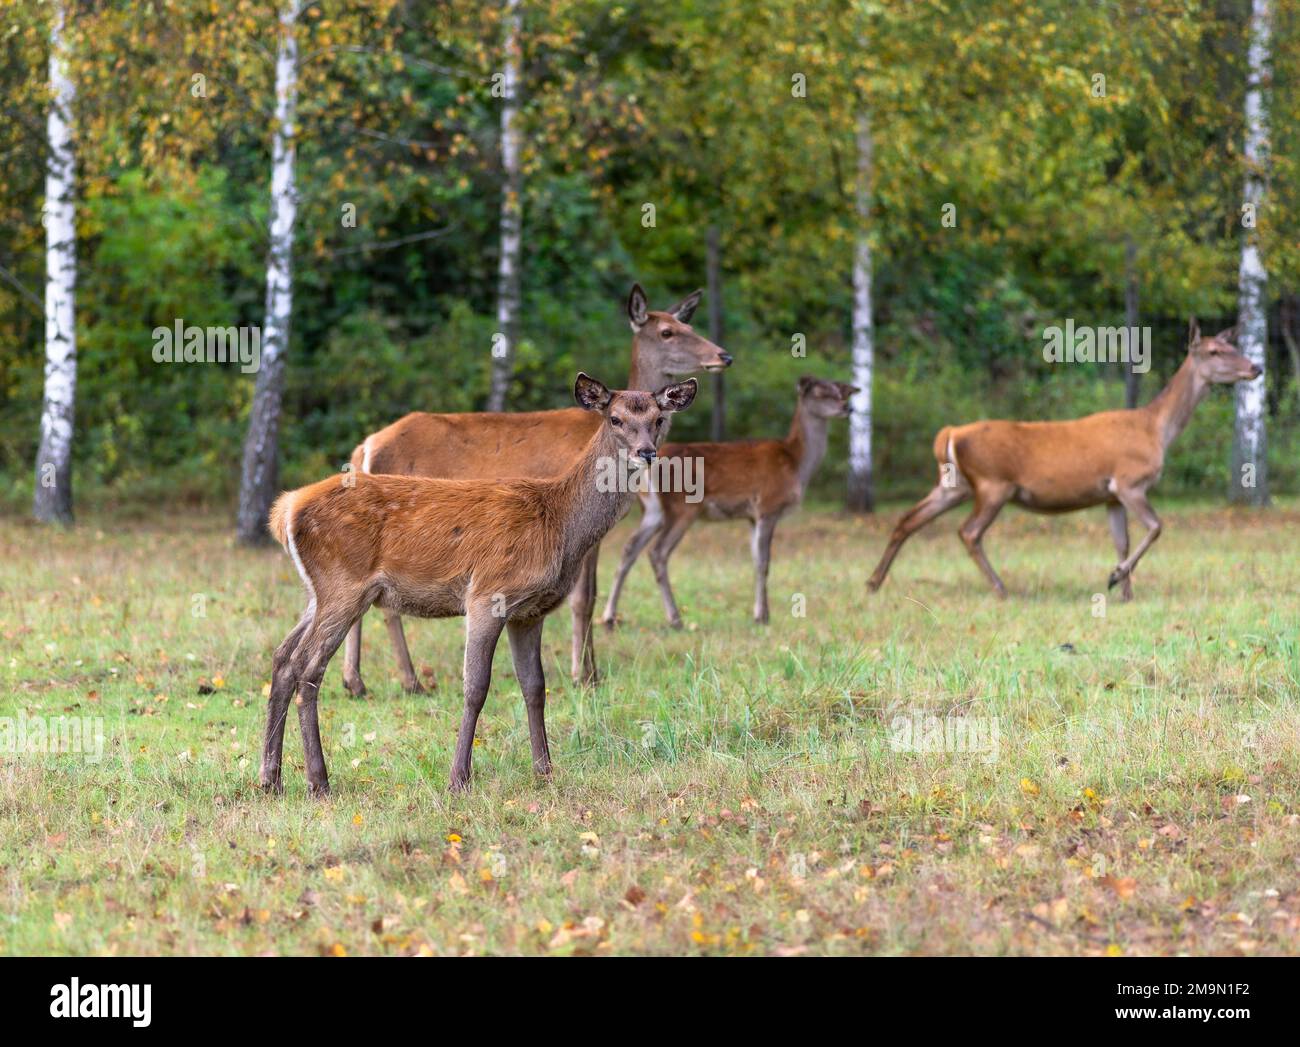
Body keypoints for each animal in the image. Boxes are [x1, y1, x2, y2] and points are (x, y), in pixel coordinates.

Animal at [262, 374, 702, 790]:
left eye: (658, 419)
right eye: (615, 418)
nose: (647, 452)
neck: (559, 524)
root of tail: (286, 510)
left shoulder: (530, 612)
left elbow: (535, 686)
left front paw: (544, 770)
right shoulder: (488, 594)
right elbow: (475, 688)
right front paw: (459, 777)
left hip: (318, 594)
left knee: (283, 658)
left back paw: (272, 779)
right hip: (343, 586)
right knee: (307, 667)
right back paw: (318, 781)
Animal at [340, 286, 733, 691]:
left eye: (688, 325)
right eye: (667, 332)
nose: (723, 355)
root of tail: (365, 447)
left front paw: (591, 670)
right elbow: (583, 598)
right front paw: (583, 675)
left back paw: (358, 682)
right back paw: (406, 680)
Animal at [600, 374, 863, 629]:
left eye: (839, 391)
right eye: (821, 393)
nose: (847, 407)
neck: (796, 464)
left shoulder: (751, 516)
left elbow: (756, 559)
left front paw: (760, 612)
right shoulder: (768, 506)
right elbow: (765, 562)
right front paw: (762, 617)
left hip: (653, 510)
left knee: (630, 548)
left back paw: (609, 617)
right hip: (682, 507)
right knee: (658, 552)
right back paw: (675, 618)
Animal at [868, 316, 1263, 595]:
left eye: (1229, 345)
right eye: (1214, 352)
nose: (1255, 367)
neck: (1155, 430)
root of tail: (950, 433)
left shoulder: (1111, 495)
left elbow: (1122, 540)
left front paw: (1125, 590)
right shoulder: (1130, 481)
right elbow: (1156, 526)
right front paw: (1115, 577)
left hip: (955, 484)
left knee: (908, 519)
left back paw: (874, 582)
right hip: (993, 483)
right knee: (968, 531)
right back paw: (1000, 587)